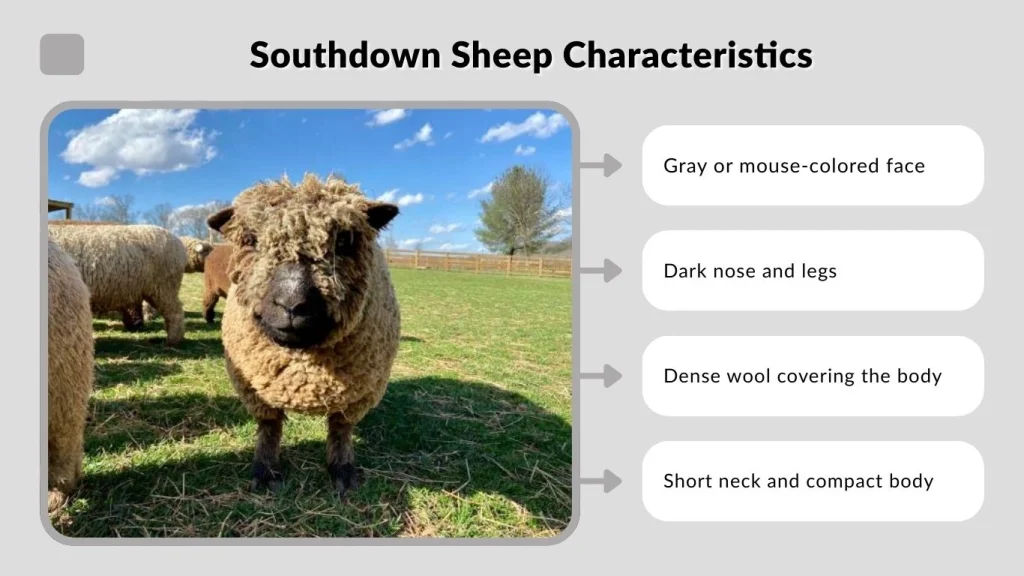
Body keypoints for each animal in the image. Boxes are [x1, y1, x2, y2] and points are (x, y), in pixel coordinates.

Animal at [207, 174, 400, 497]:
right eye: (251, 239)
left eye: (344, 240)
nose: (291, 304)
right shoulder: (256, 390)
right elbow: (269, 427)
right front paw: (265, 472)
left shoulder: (358, 395)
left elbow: (341, 430)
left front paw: (342, 472)